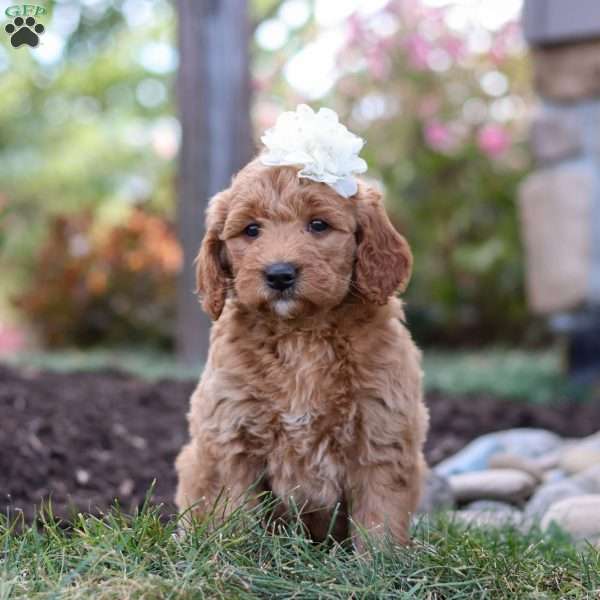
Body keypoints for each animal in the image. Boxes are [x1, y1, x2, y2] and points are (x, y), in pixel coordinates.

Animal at [176, 161, 428, 548]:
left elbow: (379, 516)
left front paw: (379, 561)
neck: (300, 335)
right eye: (251, 230)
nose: (279, 274)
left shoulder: (381, 432)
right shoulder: (231, 436)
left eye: (318, 225)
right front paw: (235, 555)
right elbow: (234, 512)